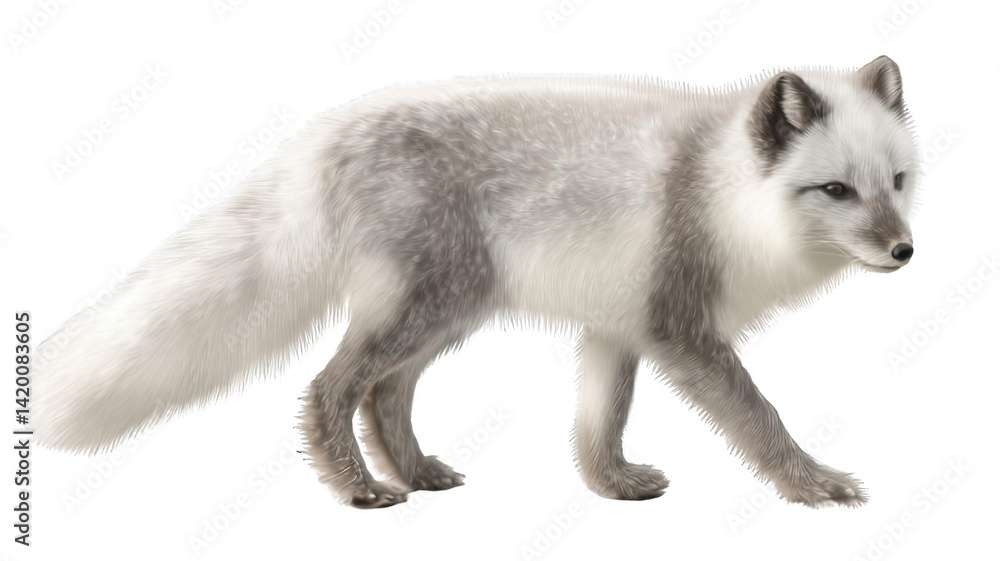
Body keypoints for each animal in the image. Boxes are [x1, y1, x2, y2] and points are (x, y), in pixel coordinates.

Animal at [33, 56, 918, 509]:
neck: (718, 188)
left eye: (898, 182)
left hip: (445, 316)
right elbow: (761, 417)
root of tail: (326, 136)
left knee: (383, 394)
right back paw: (362, 490)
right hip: (427, 308)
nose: (906, 251)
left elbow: (600, 422)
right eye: (836, 190)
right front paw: (813, 483)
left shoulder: (619, 326)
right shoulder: (682, 330)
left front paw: (611, 485)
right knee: (330, 388)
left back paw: (416, 474)